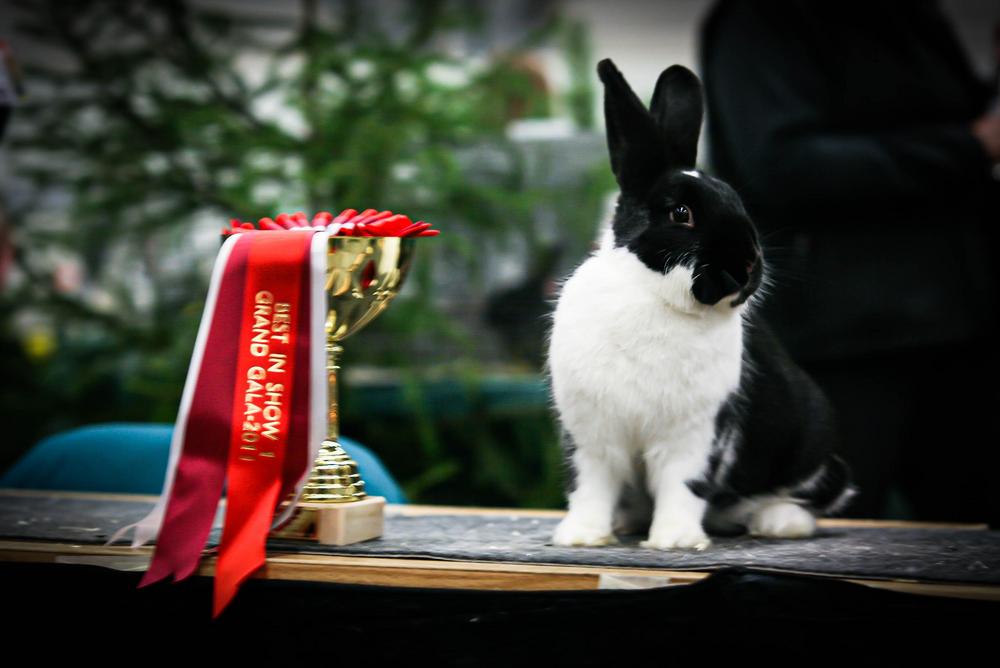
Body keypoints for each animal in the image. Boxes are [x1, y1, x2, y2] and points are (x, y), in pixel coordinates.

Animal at [548, 59, 855, 550]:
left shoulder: (699, 434)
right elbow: (590, 487)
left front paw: (673, 541)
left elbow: (684, 486)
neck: (654, 296)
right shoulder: (591, 435)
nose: (748, 265)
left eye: (738, 204)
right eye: (681, 214)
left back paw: (778, 523)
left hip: (812, 453)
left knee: (809, 498)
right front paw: (581, 537)